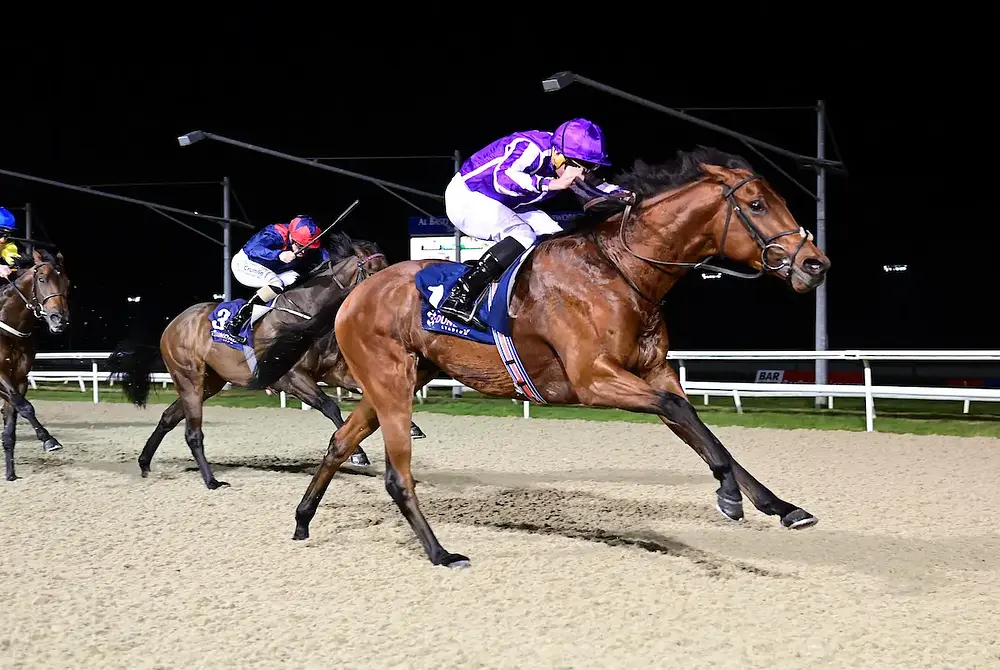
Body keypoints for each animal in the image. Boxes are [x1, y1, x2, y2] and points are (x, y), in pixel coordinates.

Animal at [2, 248, 72, 481]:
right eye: (42, 279)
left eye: (67, 283)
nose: (59, 319)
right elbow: (24, 405)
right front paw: (49, 440)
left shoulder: (20, 377)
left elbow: (14, 416)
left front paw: (11, 473)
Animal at [106, 230, 426, 489]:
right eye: (374, 270)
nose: (393, 298)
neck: (308, 314)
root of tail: (172, 325)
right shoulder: (290, 378)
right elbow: (330, 406)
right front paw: (358, 455)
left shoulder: (333, 371)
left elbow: (367, 388)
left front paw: (411, 425)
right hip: (189, 377)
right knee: (192, 432)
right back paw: (211, 481)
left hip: (211, 382)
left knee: (168, 417)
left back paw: (145, 463)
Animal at [248, 146, 832, 568]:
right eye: (756, 205)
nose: (816, 264)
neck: (619, 270)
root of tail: (354, 294)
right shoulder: (594, 380)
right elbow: (680, 411)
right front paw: (729, 495)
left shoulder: (655, 370)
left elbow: (699, 426)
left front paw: (781, 507)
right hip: (390, 381)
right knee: (396, 474)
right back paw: (440, 553)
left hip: (393, 382)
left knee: (340, 442)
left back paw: (302, 519)